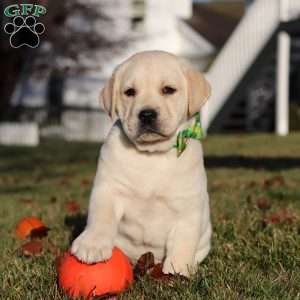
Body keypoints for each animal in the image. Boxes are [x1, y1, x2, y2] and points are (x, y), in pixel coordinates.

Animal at [71, 49, 211, 276]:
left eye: (168, 90)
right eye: (129, 92)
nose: (146, 114)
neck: (151, 155)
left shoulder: (188, 205)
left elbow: (184, 237)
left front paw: (179, 267)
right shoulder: (108, 189)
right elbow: (101, 217)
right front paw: (92, 244)